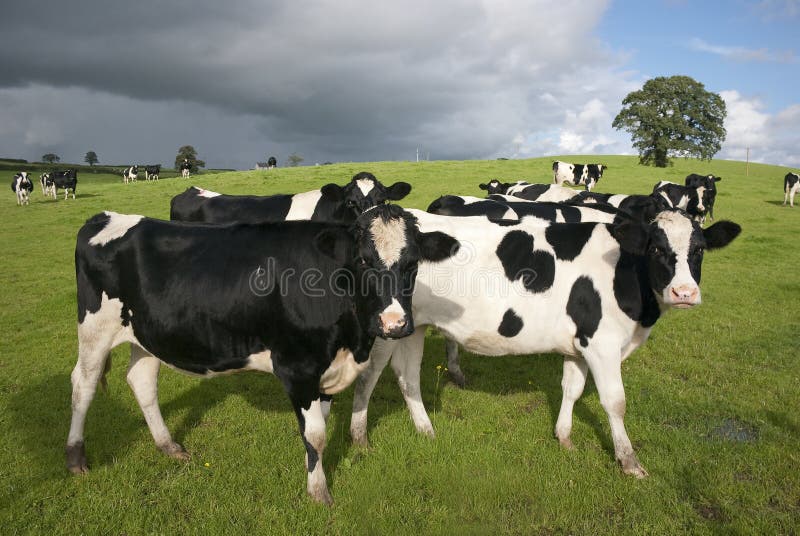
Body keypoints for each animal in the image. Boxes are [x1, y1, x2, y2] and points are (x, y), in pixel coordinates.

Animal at [66, 203, 460, 504]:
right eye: (363, 261)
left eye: (413, 264)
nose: (395, 324)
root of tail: (106, 216)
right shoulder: (298, 368)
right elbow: (316, 433)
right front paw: (319, 493)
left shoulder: (327, 369)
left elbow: (319, 427)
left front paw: (314, 472)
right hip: (95, 328)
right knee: (83, 384)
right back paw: (75, 458)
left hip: (145, 335)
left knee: (142, 382)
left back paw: (168, 446)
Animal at [354, 207, 740, 476]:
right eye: (657, 249)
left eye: (700, 249)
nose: (684, 293)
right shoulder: (602, 344)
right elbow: (615, 402)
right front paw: (630, 462)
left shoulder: (579, 344)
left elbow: (572, 389)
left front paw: (565, 437)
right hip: (386, 327)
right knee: (369, 375)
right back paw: (360, 438)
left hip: (412, 327)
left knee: (407, 376)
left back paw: (425, 430)